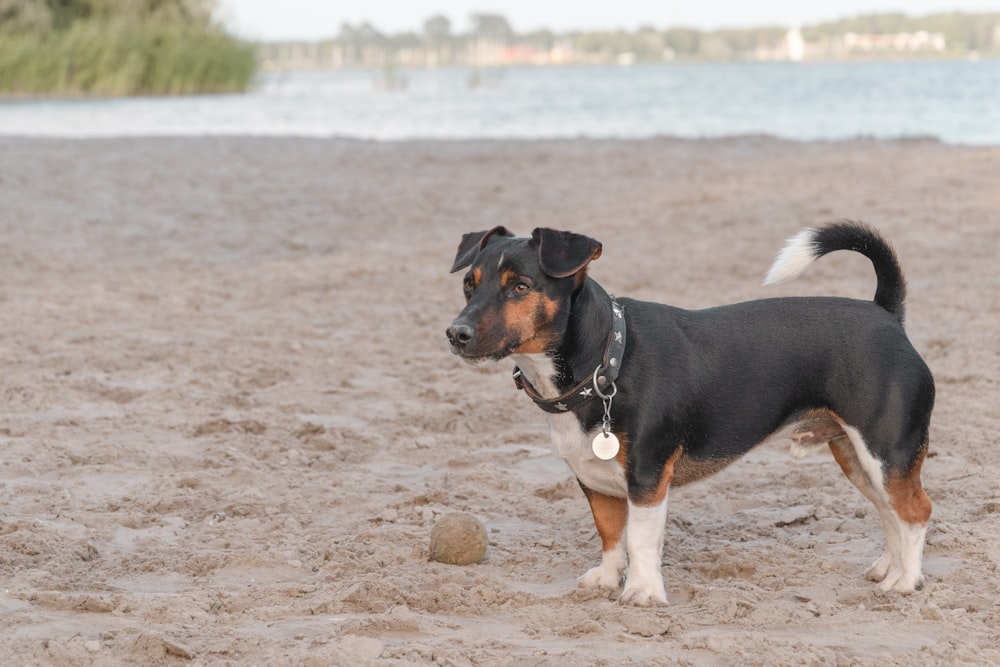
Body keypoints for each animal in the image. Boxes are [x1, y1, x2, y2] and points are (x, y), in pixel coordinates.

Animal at [446, 222, 928, 608]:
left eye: (520, 287)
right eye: (469, 284)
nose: (456, 333)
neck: (607, 359)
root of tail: (886, 313)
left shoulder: (647, 479)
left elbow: (640, 540)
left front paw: (642, 592)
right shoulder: (593, 480)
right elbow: (610, 533)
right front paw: (608, 579)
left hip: (887, 451)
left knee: (916, 512)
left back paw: (905, 582)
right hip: (856, 456)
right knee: (890, 511)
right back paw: (888, 568)